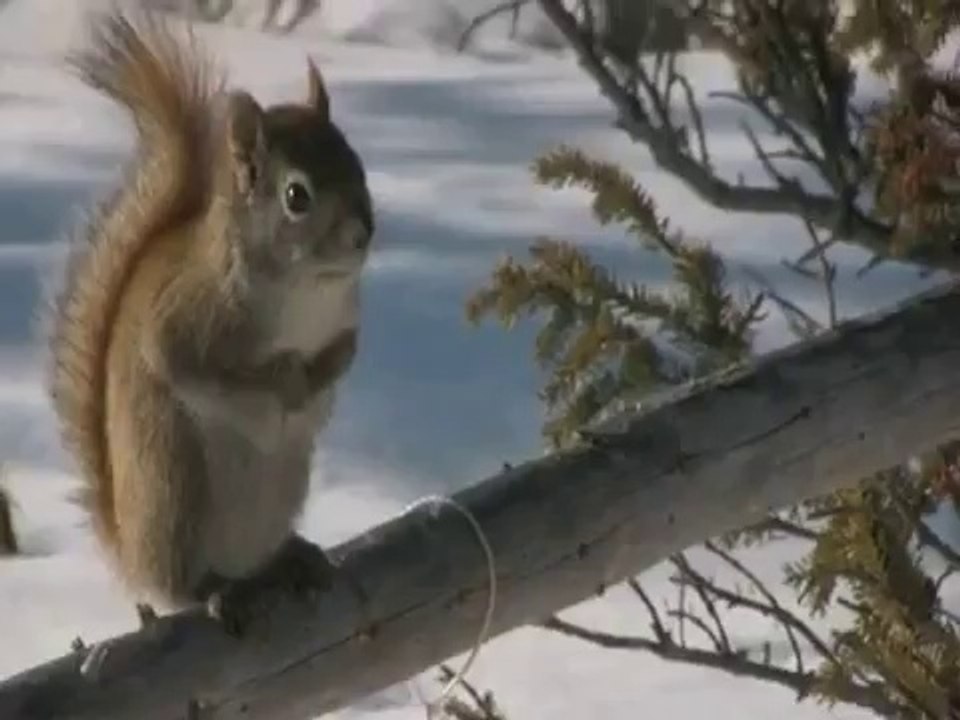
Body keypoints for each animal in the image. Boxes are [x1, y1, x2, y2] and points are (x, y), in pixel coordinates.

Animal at [47, 9, 374, 630]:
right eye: (297, 195)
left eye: (357, 163)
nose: (362, 235)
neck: (305, 290)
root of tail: (131, 555)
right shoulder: (185, 320)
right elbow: (194, 368)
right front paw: (283, 382)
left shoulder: (345, 321)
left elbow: (345, 354)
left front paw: (318, 379)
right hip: (175, 487)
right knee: (182, 584)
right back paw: (214, 589)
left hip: (283, 485)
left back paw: (292, 557)